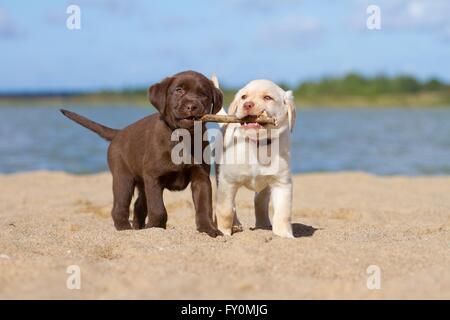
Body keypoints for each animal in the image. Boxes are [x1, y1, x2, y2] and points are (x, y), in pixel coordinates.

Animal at [214, 78, 296, 236]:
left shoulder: (281, 182)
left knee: (259, 202)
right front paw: (223, 233)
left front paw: (284, 235)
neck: (257, 144)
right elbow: (225, 210)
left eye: (267, 98)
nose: (247, 104)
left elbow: (283, 213)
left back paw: (263, 224)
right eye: (243, 97)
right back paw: (236, 225)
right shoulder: (227, 181)